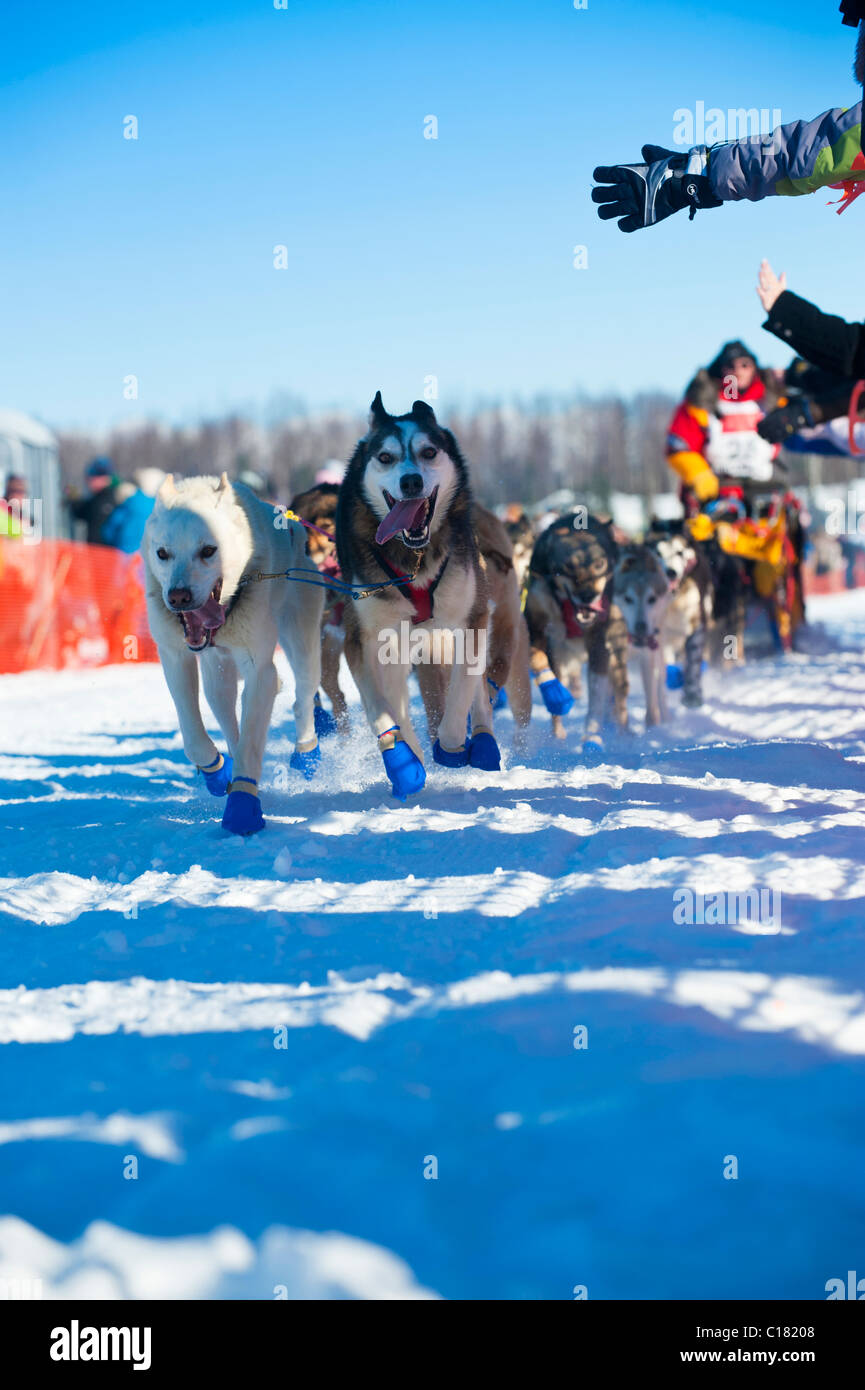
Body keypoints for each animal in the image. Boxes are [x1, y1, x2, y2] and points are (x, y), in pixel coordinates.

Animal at [143, 472, 325, 828]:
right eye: (162, 553)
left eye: (208, 550)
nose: (178, 596)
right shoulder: (175, 657)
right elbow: (193, 734)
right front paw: (215, 771)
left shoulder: (260, 669)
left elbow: (253, 740)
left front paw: (242, 806)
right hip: (218, 678)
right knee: (229, 719)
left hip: (302, 644)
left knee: (303, 696)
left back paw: (307, 752)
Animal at [337, 397, 500, 800]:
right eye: (385, 457)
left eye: (429, 452)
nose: (410, 481)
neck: (415, 556)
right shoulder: (361, 639)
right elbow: (379, 707)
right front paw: (403, 761)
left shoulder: (471, 619)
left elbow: (462, 691)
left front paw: (452, 744)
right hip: (395, 644)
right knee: (396, 698)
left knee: (477, 689)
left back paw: (483, 741)